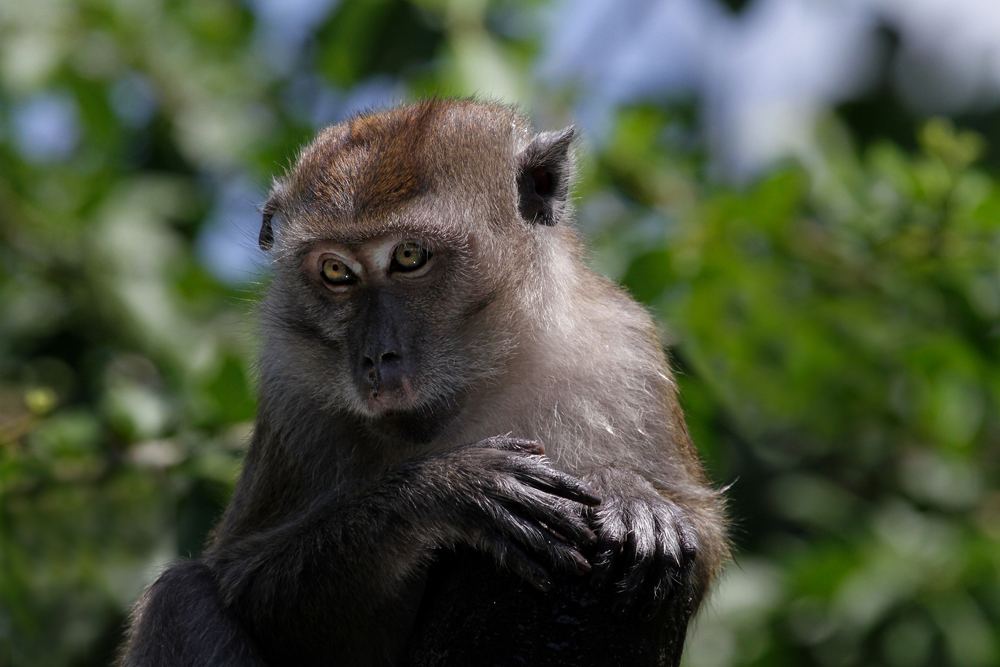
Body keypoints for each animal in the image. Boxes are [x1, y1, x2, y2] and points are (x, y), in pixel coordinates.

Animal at [119, 99, 728, 667]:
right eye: (336, 271)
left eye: (409, 256)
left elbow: (701, 540)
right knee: (180, 596)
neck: (480, 372)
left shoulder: (626, 350)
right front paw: (448, 489)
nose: (375, 358)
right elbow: (247, 584)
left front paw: (632, 495)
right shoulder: (291, 385)